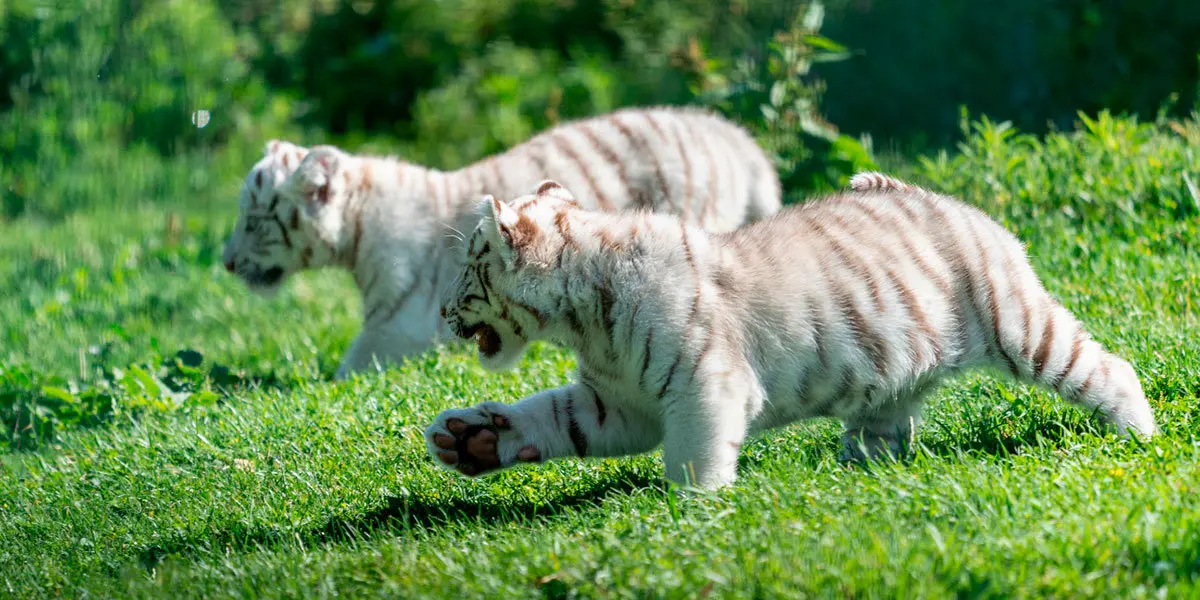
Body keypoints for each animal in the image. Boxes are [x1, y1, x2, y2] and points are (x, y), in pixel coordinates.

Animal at [220, 107, 782, 380]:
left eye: (253, 220)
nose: (224, 263)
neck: (356, 232)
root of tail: (740, 140)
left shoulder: (395, 330)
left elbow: (345, 372)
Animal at [425, 175, 1157, 489]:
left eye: (467, 268)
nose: (441, 314)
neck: (581, 320)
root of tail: (925, 192)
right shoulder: (618, 401)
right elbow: (552, 416)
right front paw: (473, 440)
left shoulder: (705, 382)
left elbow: (694, 453)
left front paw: (691, 512)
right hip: (891, 376)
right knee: (887, 429)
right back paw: (857, 473)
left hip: (1018, 322)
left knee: (1104, 366)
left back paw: (1140, 437)